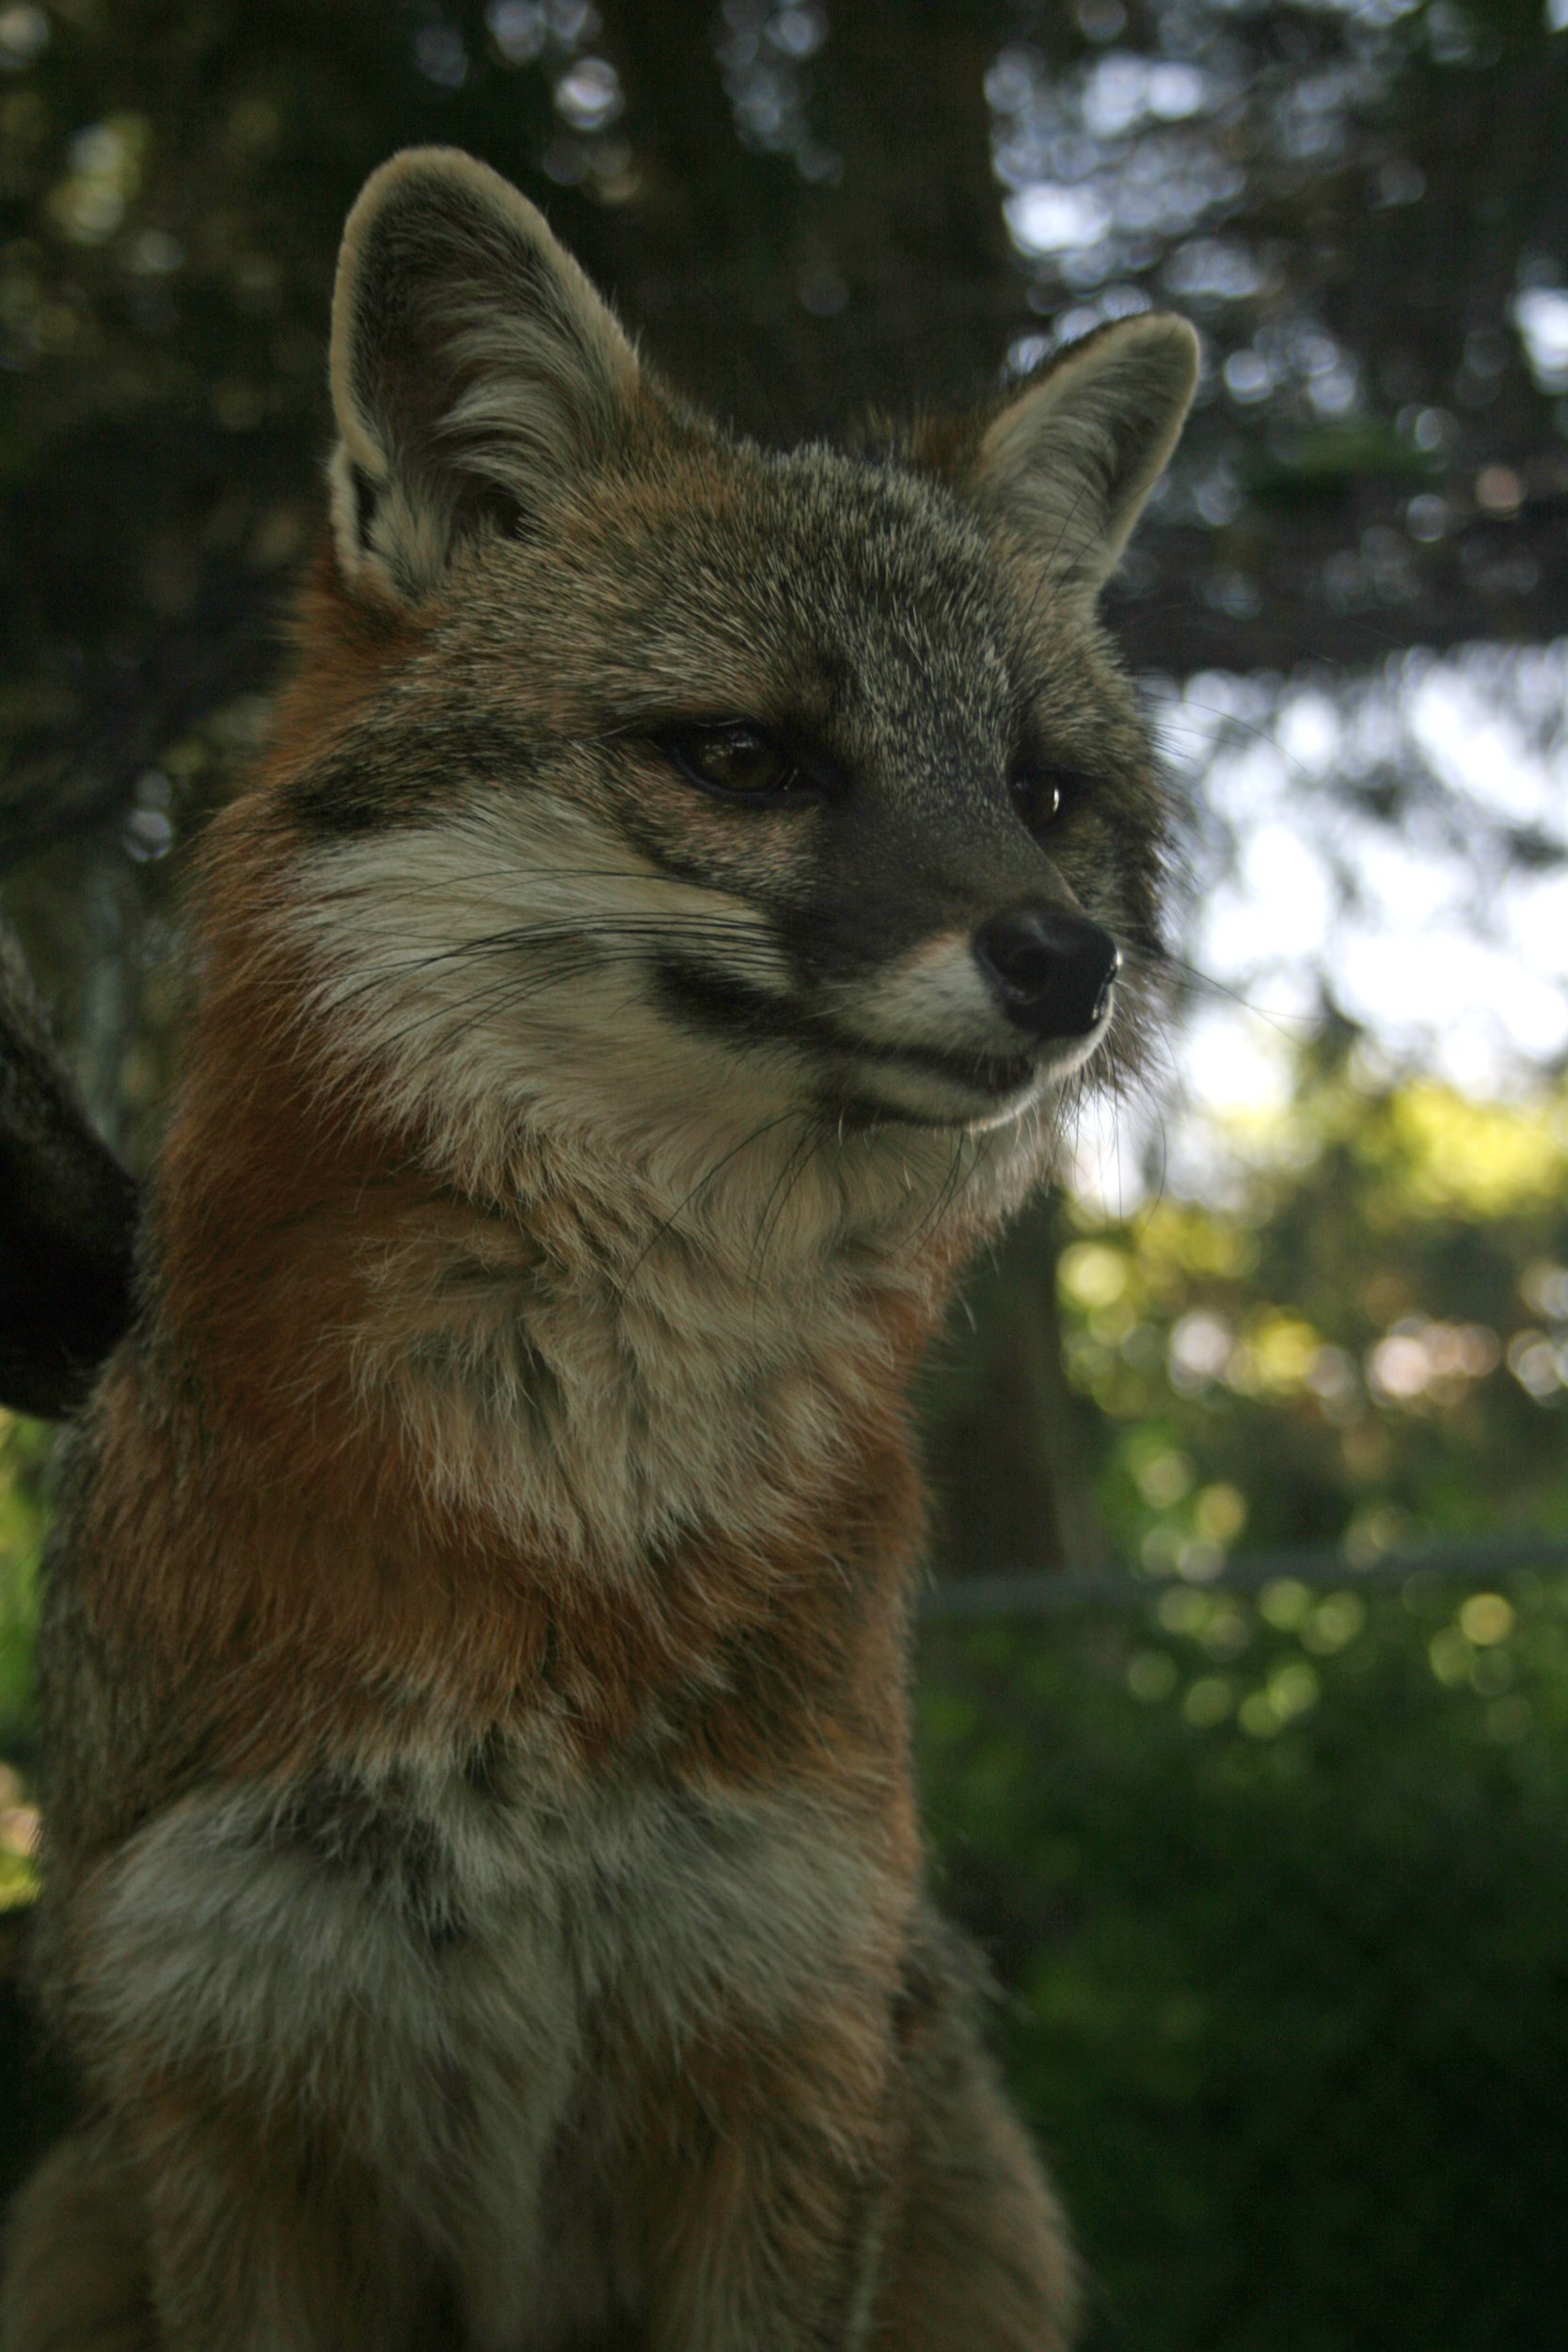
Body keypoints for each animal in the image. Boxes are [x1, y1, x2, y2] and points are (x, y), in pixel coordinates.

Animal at [0, 147, 1197, 2352]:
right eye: (740, 758)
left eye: (1042, 791)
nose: (1068, 963)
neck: (564, 1538)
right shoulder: (237, 2075)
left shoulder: (780, 2036)